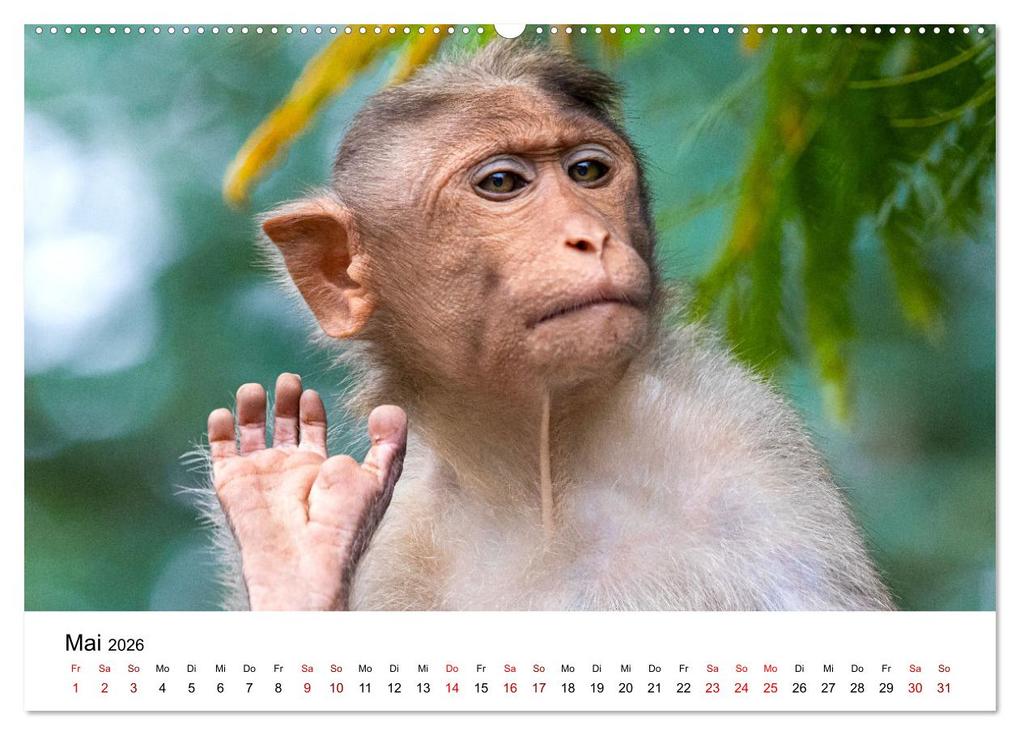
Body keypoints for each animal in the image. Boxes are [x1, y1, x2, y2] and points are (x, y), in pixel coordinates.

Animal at [198, 40, 894, 612]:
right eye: (503, 183)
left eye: (587, 172)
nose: (591, 236)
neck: (536, 477)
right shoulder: (397, 542)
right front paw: (288, 541)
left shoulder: (751, 464)